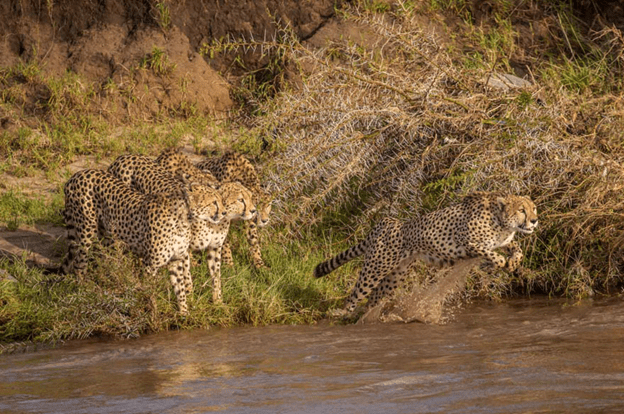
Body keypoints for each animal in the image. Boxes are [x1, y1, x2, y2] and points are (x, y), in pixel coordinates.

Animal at [62, 168, 224, 314]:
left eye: (220, 200)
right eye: (213, 202)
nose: (223, 213)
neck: (184, 218)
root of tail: (77, 174)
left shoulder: (176, 259)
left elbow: (180, 288)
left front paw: (184, 314)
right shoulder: (150, 265)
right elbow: (150, 291)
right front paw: (153, 314)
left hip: (107, 236)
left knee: (107, 260)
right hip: (86, 232)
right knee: (79, 264)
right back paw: (83, 292)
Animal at [314, 192, 540, 312]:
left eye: (534, 208)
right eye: (521, 210)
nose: (535, 220)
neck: (502, 223)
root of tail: (386, 222)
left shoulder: (503, 241)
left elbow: (516, 249)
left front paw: (513, 262)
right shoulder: (467, 242)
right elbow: (491, 254)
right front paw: (499, 263)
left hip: (395, 276)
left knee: (373, 299)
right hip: (375, 269)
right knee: (354, 296)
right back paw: (344, 315)